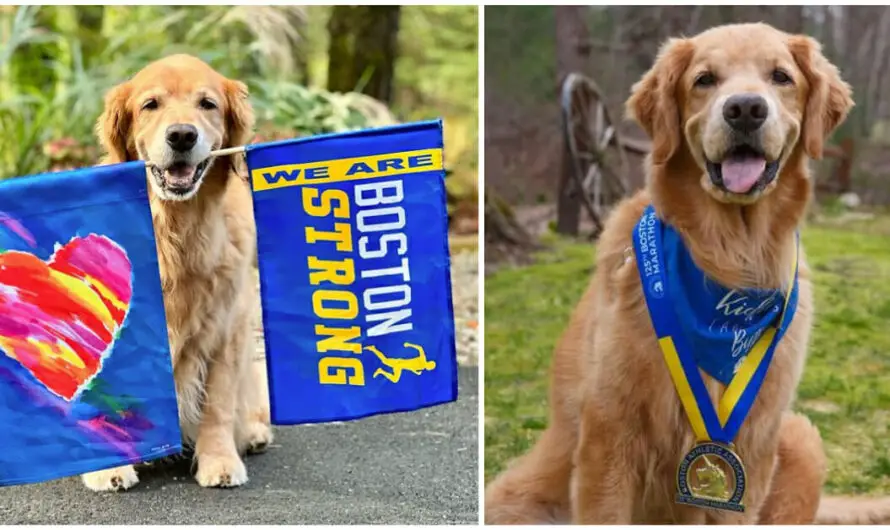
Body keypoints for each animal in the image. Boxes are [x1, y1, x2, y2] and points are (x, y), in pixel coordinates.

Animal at [81, 55, 272, 488]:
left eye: (208, 104)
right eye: (150, 104)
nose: (182, 135)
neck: (176, 229)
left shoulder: (229, 326)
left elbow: (218, 402)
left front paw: (219, 460)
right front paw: (109, 467)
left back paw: (253, 434)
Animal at [482, 22, 872, 520]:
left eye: (781, 76)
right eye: (704, 79)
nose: (745, 109)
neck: (730, 262)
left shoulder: (751, 449)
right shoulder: (610, 434)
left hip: (800, 437)